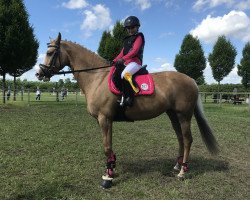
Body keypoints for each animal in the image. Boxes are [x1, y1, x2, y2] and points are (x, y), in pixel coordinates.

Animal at [36, 32, 218, 188]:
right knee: (180, 138)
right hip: (173, 115)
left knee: (187, 140)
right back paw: (176, 166)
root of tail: (191, 80)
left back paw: (182, 172)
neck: (97, 78)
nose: (38, 73)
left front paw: (107, 178)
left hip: (184, 115)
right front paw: (111, 170)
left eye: (50, 52)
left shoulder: (104, 118)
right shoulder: (107, 120)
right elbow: (109, 147)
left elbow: (106, 147)